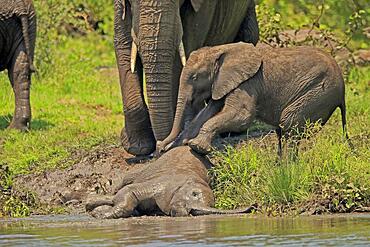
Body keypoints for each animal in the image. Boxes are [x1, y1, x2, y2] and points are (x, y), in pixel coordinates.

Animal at [86, 147, 254, 218]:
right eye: (194, 194)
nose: (254, 205)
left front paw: (97, 211)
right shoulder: (164, 184)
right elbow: (129, 192)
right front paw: (97, 214)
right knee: (125, 182)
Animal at [158, 42, 348, 154]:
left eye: (195, 77)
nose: (159, 145)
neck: (221, 49)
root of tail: (343, 92)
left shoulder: (248, 84)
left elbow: (242, 115)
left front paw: (196, 147)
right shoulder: (222, 82)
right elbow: (207, 112)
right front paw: (179, 145)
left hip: (319, 91)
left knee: (288, 122)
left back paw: (286, 168)